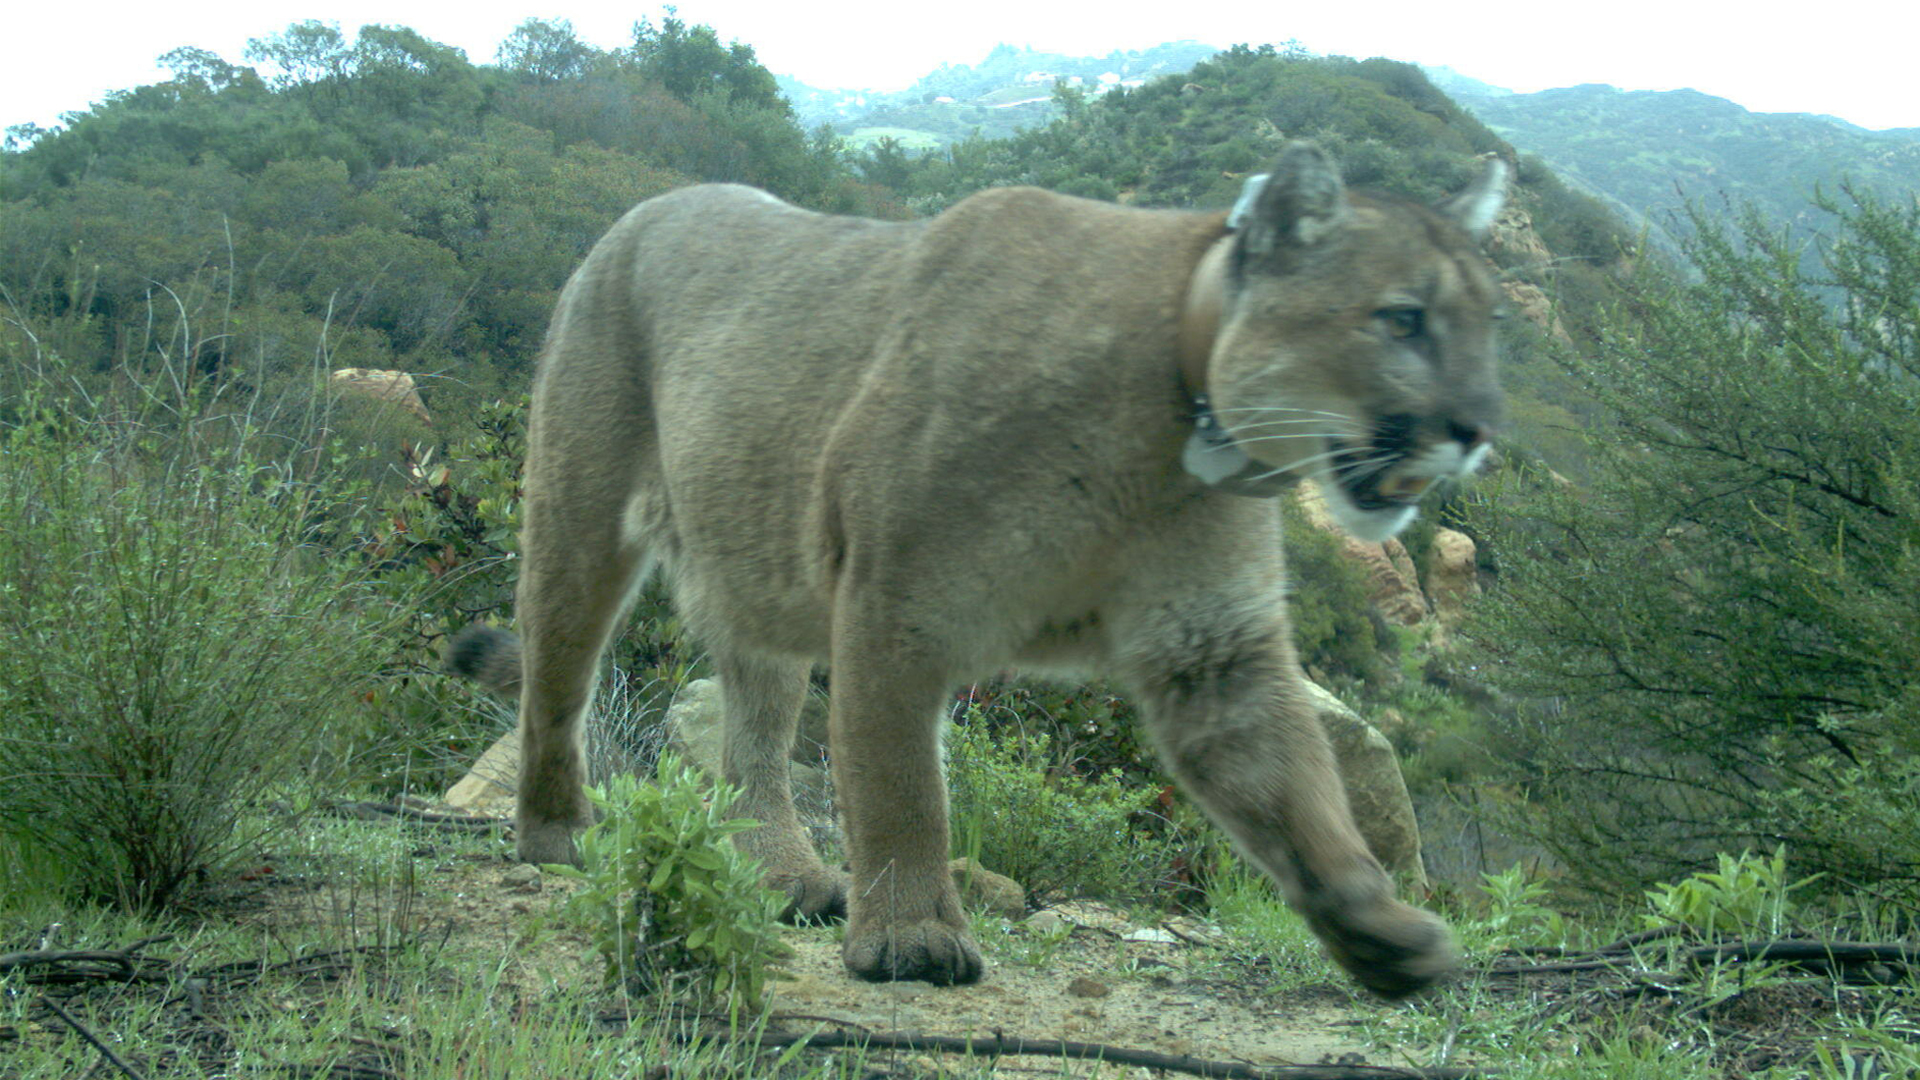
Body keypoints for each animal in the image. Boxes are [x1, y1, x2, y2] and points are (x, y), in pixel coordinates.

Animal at [453, 141, 1512, 991]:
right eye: (1403, 319)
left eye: (1486, 322)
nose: (1477, 427)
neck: (1170, 424)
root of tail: (639, 212)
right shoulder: (896, 603)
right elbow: (902, 787)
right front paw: (912, 938)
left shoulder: (1214, 647)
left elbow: (1295, 791)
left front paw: (1379, 930)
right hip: (581, 515)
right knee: (555, 677)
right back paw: (557, 833)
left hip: (756, 559)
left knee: (752, 727)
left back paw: (786, 875)